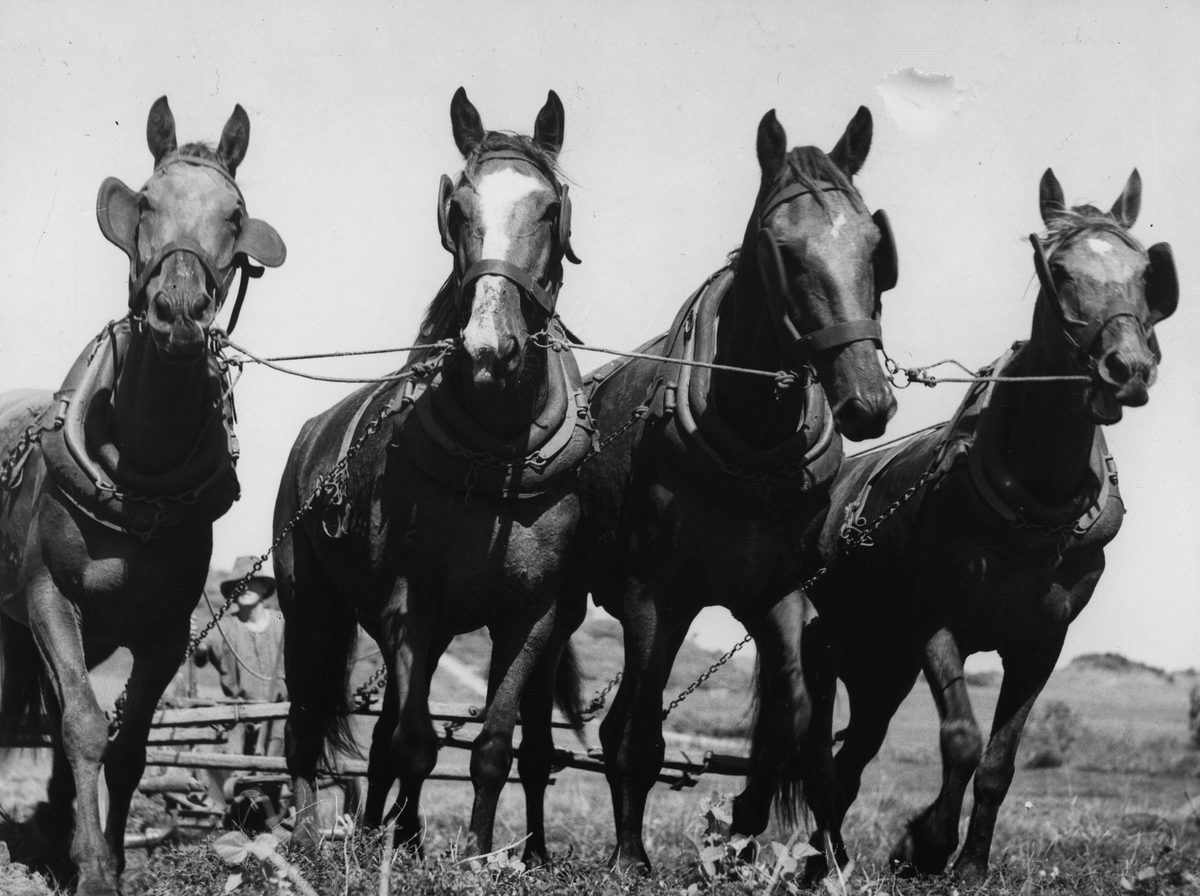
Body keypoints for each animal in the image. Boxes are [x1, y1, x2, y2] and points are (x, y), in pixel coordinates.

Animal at [0, 96, 285, 896]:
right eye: (149, 201)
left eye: (234, 212)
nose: (178, 309)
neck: (135, 484)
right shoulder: (46, 599)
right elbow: (84, 726)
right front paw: (96, 871)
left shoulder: (162, 631)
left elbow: (123, 745)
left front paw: (108, 856)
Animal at [274, 87, 591, 861]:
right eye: (458, 209)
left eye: (550, 207)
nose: (488, 347)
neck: (495, 458)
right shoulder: (407, 611)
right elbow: (416, 741)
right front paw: (405, 847)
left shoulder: (530, 618)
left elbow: (492, 746)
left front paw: (474, 853)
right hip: (310, 608)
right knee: (305, 726)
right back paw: (309, 838)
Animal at [566, 106, 899, 872]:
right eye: (783, 247)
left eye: (875, 245)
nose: (868, 401)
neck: (751, 436)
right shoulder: (656, 595)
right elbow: (640, 736)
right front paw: (631, 858)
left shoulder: (776, 595)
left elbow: (797, 726)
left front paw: (767, 840)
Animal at [799, 168, 1178, 883]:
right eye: (1059, 270)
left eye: (1147, 273)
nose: (1127, 369)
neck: (1035, 509)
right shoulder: (938, 625)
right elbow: (962, 739)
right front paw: (924, 844)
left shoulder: (1040, 646)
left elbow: (1000, 762)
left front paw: (969, 866)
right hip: (827, 646)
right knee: (817, 762)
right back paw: (821, 861)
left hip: (882, 668)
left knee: (851, 760)